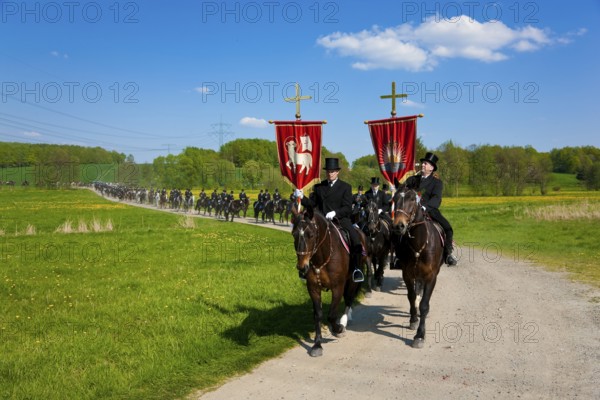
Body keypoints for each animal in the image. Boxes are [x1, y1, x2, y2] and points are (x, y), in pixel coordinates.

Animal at [290, 206, 366, 356]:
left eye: (311, 235)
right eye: (294, 234)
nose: (302, 267)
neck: (322, 258)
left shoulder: (338, 287)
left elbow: (331, 315)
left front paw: (338, 328)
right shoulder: (313, 288)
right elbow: (318, 315)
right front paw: (317, 344)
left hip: (352, 282)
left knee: (348, 300)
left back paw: (344, 321)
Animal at [392, 180, 442, 348]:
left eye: (412, 199)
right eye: (394, 199)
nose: (399, 226)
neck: (418, 243)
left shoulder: (431, 277)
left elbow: (424, 304)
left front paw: (420, 335)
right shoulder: (407, 274)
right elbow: (412, 296)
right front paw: (413, 320)